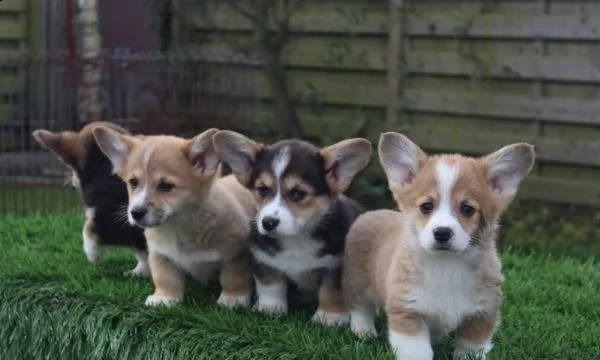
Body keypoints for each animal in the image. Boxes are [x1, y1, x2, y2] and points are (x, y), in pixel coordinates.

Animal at [93, 126, 255, 306]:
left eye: (166, 186)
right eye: (133, 182)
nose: (135, 213)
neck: (178, 226)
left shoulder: (234, 255)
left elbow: (233, 279)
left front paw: (232, 300)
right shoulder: (161, 255)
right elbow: (165, 279)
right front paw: (164, 299)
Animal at [211, 131, 370, 324]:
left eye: (298, 194)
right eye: (262, 190)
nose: (268, 223)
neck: (296, 239)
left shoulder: (337, 266)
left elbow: (331, 291)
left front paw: (329, 318)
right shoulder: (264, 258)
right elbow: (271, 287)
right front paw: (269, 310)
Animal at [342, 133, 536, 360]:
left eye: (467, 209)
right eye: (426, 206)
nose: (442, 233)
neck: (446, 266)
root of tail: (370, 212)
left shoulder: (482, 315)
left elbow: (470, 349)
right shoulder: (407, 311)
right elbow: (418, 352)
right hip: (357, 281)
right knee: (360, 307)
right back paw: (364, 331)